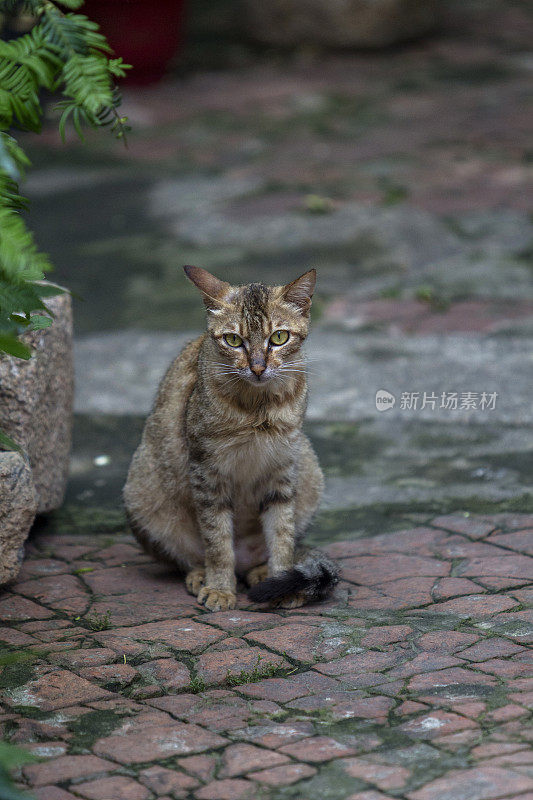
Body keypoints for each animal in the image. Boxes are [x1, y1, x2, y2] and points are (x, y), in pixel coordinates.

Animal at [123, 266, 338, 608]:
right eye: (233, 340)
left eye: (279, 337)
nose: (258, 367)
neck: (258, 409)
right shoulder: (206, 470)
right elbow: (217, 541)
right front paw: (220, 588)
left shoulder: (283, 468)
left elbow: (282, 535)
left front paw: (281, 580)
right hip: (142, 495)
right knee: (190, 557)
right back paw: (201, 575)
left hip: (311, 473)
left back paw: (262, 573)